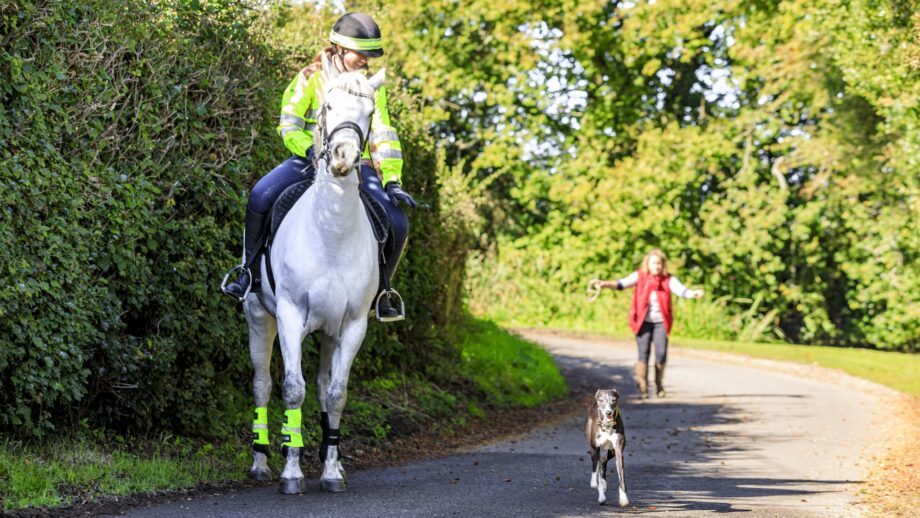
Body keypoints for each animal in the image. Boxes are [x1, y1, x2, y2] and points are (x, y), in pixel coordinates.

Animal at [243, 53, 386, 495]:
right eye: (327, 106)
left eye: (369, 113)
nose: (342, 157)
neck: (330, 234)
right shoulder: (289, 316)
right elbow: (291, 390)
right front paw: (291, 473)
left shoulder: (353, 325)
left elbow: (336, 394)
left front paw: (331, 472)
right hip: (260, 318)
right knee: (261, 384)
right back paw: (260, 462)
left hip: (328, 333)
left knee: (323, 388)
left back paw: (329, 459)